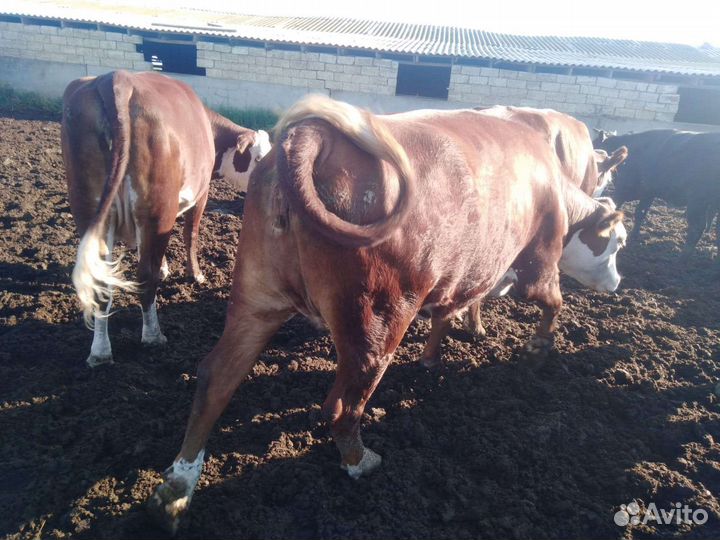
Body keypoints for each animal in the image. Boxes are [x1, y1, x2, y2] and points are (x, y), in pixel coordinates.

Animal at [61, 70, 271, 367]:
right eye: (259, 157)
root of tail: (116, 78)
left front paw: (164, 267)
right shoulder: (201, 195)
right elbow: (189, 235)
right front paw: (196, 274)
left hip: (92, 212)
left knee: (101, 282)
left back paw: (100, 351)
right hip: (156, 209)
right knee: (144, 278)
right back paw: (152, 335)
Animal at [594, 129, 720, 259]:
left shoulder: (623, 188)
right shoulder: (648, 193)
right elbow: (640, 213)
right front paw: (634, 235)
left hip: (697, 201)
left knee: (697, 228)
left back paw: (683, 257)